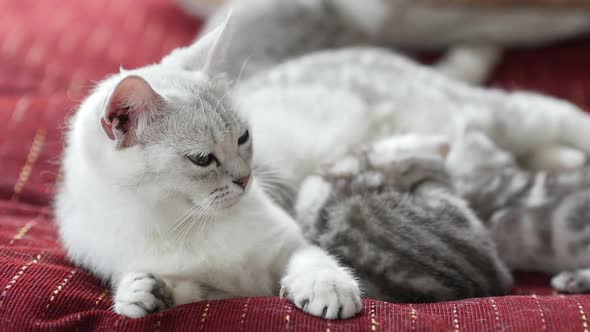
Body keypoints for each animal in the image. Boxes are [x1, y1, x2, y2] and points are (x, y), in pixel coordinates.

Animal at [55, 14, 364, 320]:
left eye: (243, 137)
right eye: (202, 159)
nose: (245, 179)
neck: (183, 222)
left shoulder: (284, 244)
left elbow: (308, 256)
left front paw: (328, 285)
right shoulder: (219, 292)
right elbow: (190, 292)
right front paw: (143, 293)